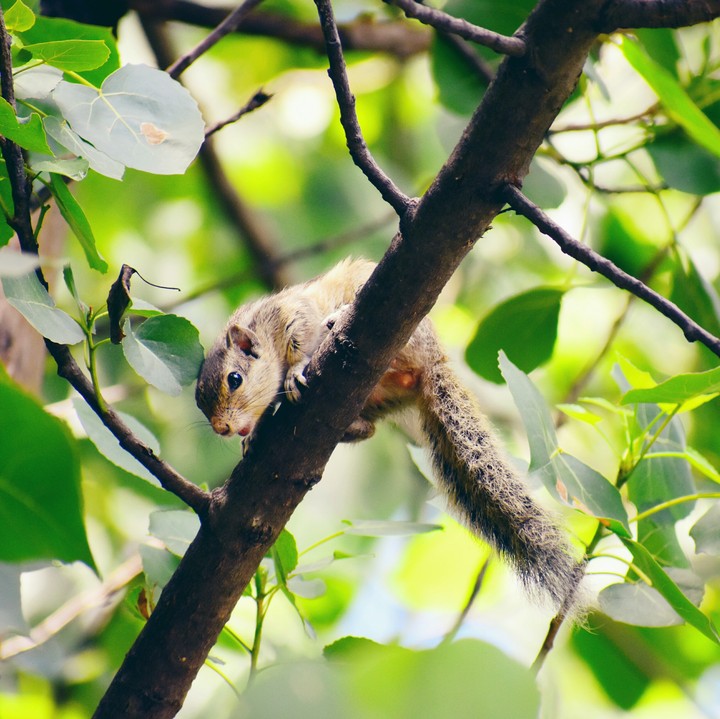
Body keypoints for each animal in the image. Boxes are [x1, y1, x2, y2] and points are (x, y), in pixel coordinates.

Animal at [196, 258, 585, 611]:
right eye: (200, 404)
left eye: (234, 379)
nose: (223, 428)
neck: (264, 330)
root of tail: (432, 362)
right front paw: (253, 437)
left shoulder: (293, 316)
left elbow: (300, 344)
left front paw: (293, 371)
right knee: (368, 429)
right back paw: (352, 424)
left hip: (406, 338)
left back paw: (338, 319)